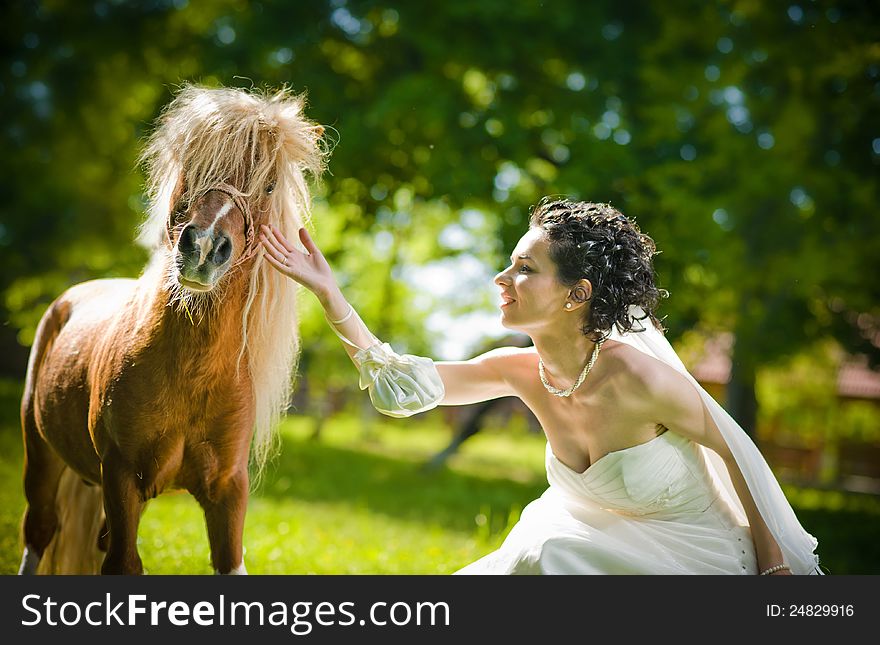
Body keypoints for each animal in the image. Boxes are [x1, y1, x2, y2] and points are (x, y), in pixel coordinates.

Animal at [17, 85, 324, 572]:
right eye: (194, 165)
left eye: (269, 185)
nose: (204, 247)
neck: (192, 373)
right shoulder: (121, 477)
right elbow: (123, 564)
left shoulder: (228, 490)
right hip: (42, 458)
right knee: (39, 531)